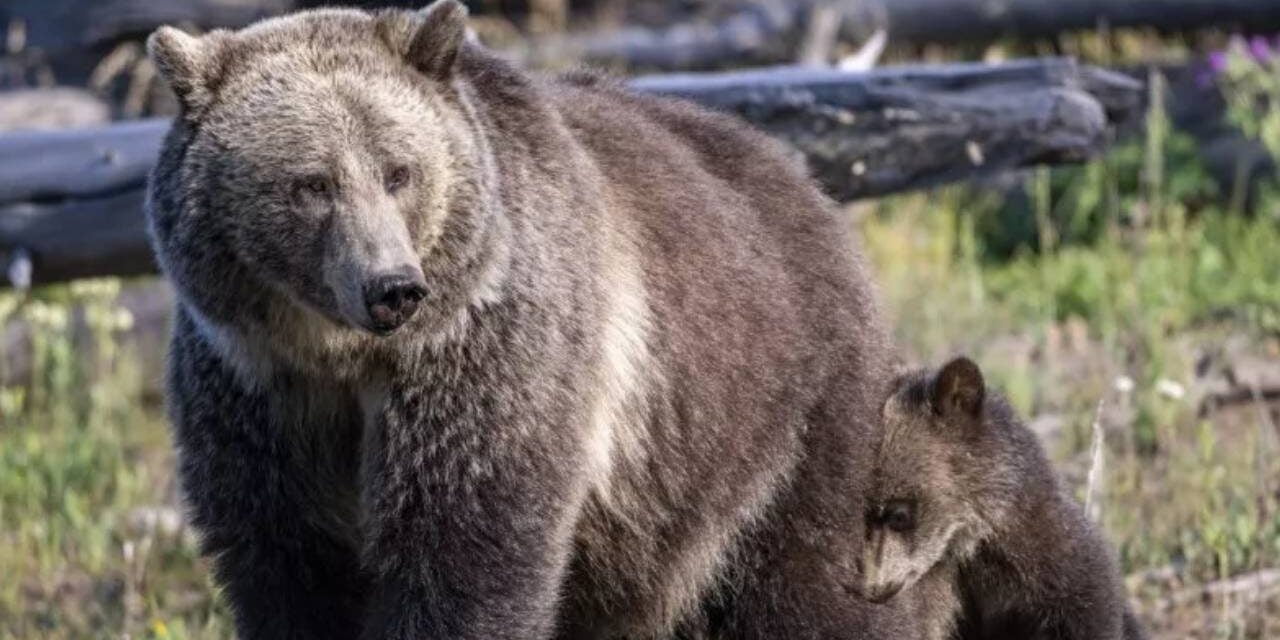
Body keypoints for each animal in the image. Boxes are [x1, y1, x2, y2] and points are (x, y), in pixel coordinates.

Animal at [145, 2, 916, 637]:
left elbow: (465, 545)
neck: (341, 355)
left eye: (399, 171)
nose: (393, 288)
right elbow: (289, 564)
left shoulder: (484, 355)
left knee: (811, 579)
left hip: (780, 415)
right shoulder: (254, 389)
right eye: (312, 183)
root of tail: (805, 181)